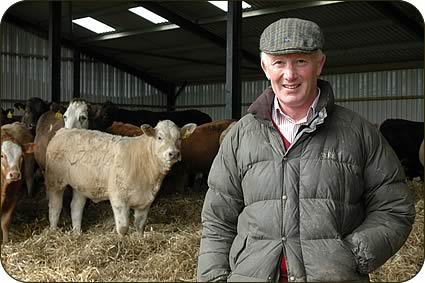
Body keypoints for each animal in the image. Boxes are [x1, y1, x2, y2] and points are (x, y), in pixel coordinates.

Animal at [44, 120, 196, 235]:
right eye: (160, 137)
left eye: (179, 139)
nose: (174, 153)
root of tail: (63, 131)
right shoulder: (119, 197)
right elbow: (123, 228)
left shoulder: (146, 201)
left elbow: (140, 225)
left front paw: (139, 240)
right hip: (55, 181)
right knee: (55, 207)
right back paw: (53, 231)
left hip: (81, 184)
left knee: (76, 206)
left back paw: (77, 233)